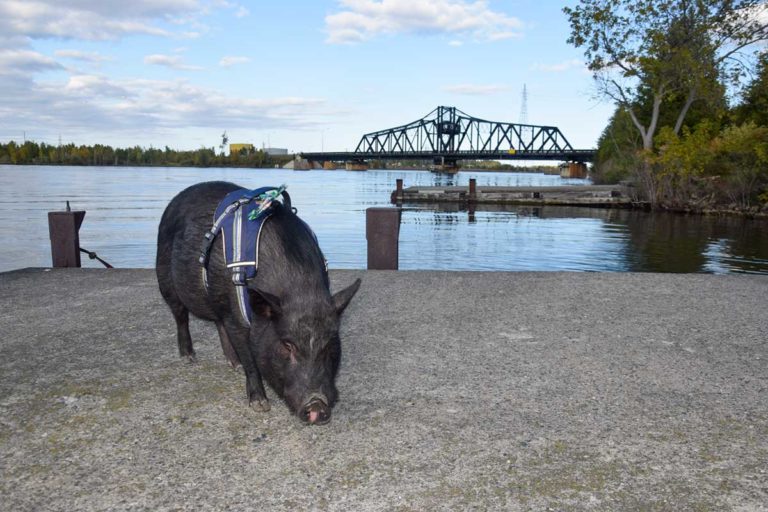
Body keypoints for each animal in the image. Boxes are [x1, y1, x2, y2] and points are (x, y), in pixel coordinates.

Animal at [156, 181, 361, 425]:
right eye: (287, 345)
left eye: (330, 345)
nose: (316, 405)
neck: (300, 289)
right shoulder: (236, 316)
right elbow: (250, 361)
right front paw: (260, 405)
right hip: (164, 277)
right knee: (180, 315)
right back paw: (189, 357)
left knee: (217, 321)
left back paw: (233, 364)